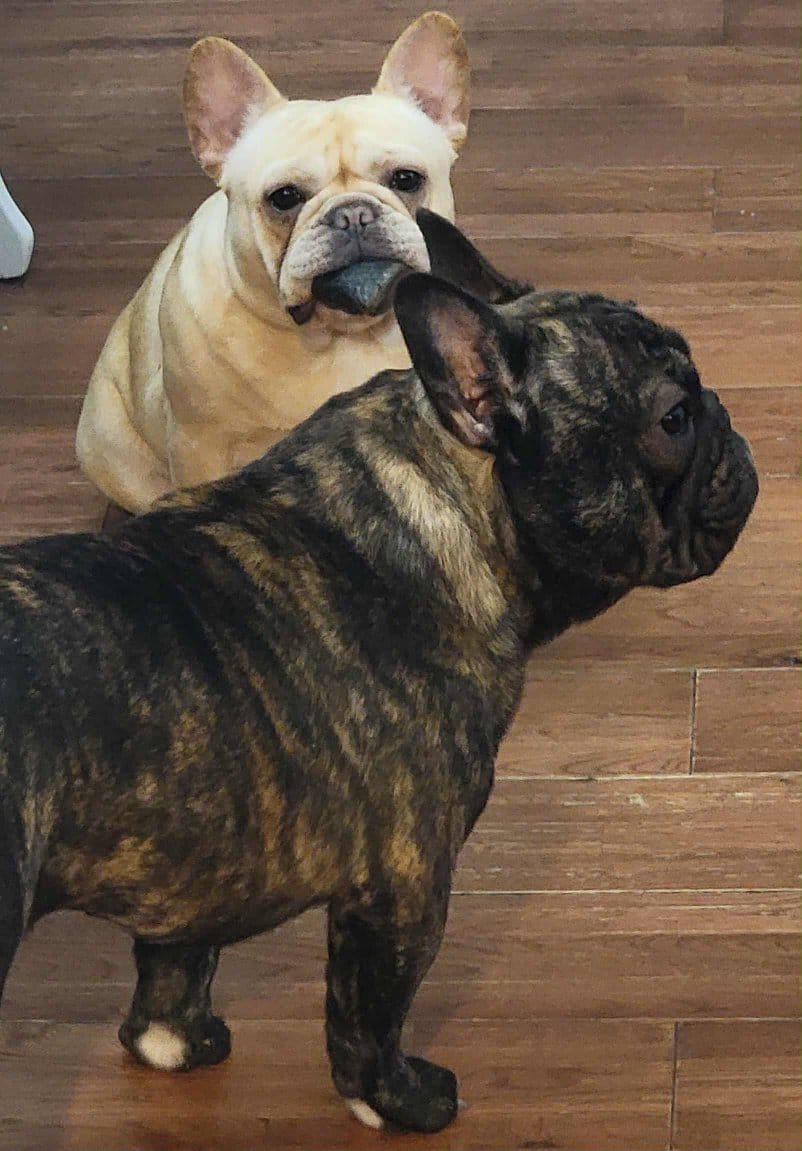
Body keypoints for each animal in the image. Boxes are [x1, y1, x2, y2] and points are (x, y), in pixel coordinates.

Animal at [0, 218, 757, 1133]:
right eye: (673, 418)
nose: (727, 420)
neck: (446, 502)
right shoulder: (402, 886)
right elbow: (369, 1016)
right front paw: (400, 1101)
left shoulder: (190, 866)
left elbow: (176, 962)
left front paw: (175, 1041)